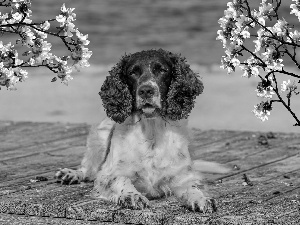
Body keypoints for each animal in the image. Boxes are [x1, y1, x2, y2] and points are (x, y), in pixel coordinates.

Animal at [55, 48, 230, 212]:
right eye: (133, 72)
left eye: (162, 70)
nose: (146, 90)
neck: (151, 132)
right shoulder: (107, 176)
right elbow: (121, 179)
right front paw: (132, 195)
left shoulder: (183, 176)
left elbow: (194, 187)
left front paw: (202, 199)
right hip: (99, 136)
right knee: (88, 168)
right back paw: (71, 174)